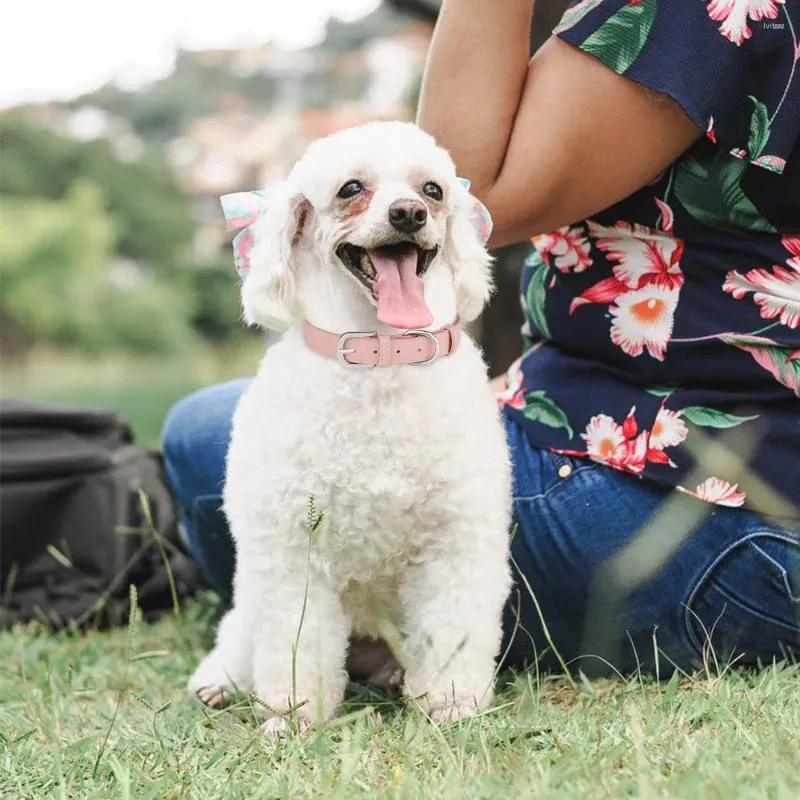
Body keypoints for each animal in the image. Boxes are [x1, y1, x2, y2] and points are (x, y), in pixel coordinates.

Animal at [188, 120, 512, 732]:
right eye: (351, 189)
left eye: (433, 190)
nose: (409, 213)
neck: (381, 354)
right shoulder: (294, 552)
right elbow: (298, 645)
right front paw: (294, 716)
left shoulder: (456, 542)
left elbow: (453, 630)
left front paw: (451, 704)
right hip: (251, 605)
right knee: (235, 643)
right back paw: (216, 684)